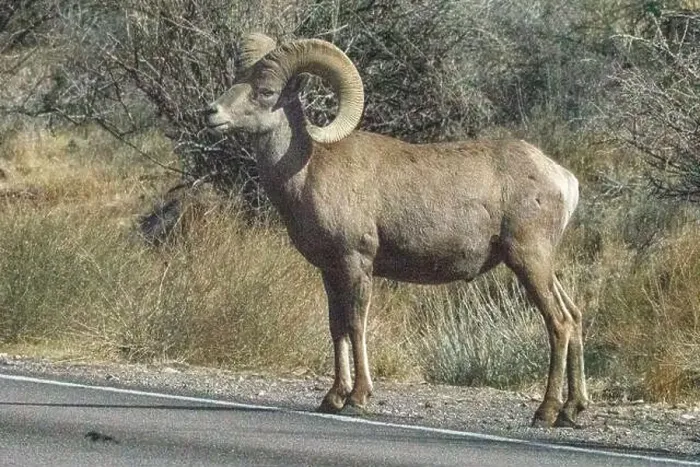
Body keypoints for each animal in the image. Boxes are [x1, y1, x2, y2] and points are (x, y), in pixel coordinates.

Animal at [205, 34, 588, 428]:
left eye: (266, 91)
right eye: (238, 79)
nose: (212, 112)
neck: (309, 168)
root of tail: (563, 178)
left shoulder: (356, 263)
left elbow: (356, 325)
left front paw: (357, 398)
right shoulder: (330, 271)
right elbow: (336, 327)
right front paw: (332, 398)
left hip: (529, 260)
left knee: (558, 322)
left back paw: (545, 411)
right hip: (542, 265)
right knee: (574, 316)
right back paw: (571, 410)